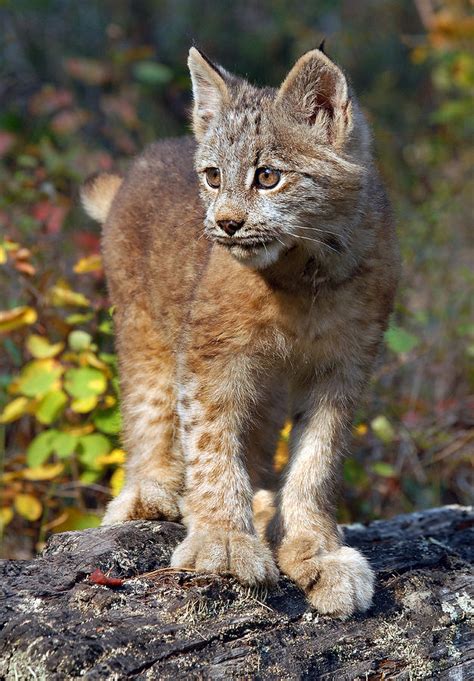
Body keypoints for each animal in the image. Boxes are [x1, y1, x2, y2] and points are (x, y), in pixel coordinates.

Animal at [82, 45, 400, 612]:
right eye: (212, 177)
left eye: (268, 176)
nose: (226, 224)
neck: (305, 275)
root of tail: (142, 161)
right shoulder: (211, 356)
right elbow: (212, 445)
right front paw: (224, 541)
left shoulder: (345, 364)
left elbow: (318, 460)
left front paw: (313, 548)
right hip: (145, 331)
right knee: (148, 413)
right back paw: (149, 494)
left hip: (264, 385)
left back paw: (261, 504)